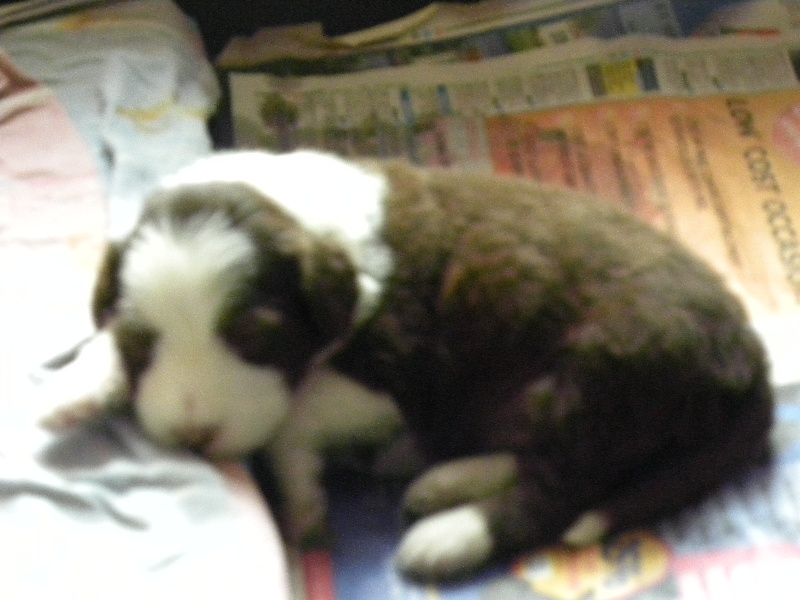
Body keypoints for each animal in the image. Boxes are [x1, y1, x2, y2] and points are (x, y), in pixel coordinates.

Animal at [41, 149, 773, 581]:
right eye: (143, 342)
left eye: (256, 341)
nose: (194, 438)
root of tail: (750, 358)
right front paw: (74, 385)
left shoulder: (402, 367)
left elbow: (292, 417)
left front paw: (302, 498)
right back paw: (435, 477)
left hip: (596, 377)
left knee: (559, 487)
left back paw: (447, 533)